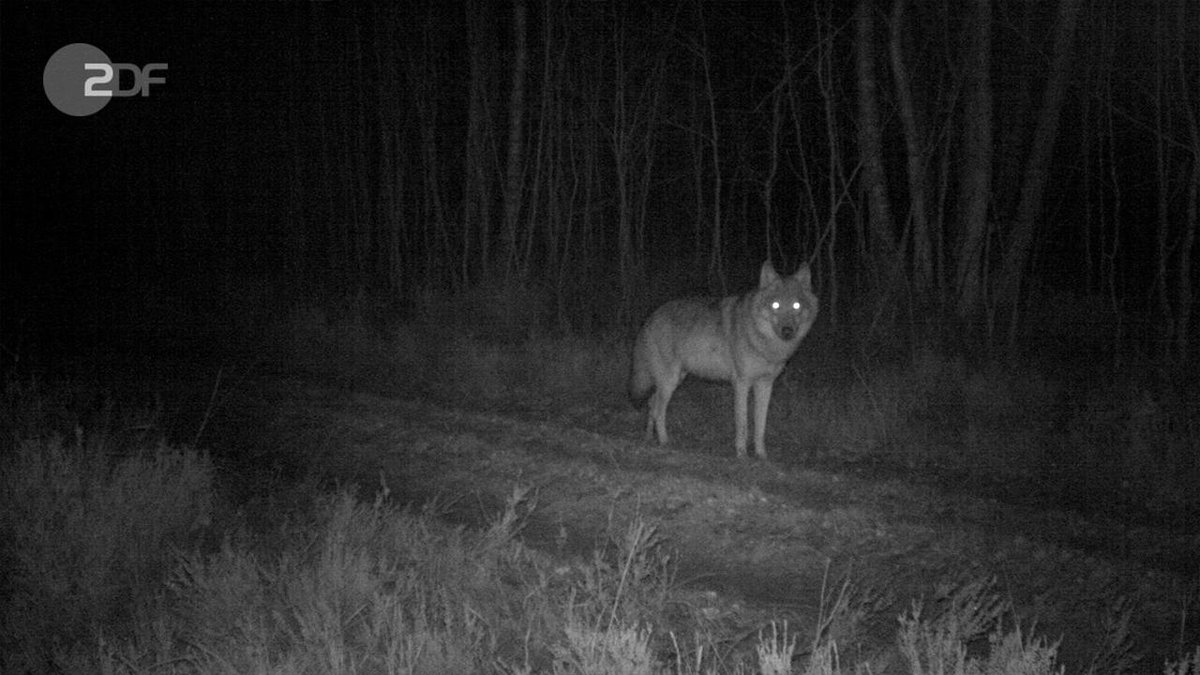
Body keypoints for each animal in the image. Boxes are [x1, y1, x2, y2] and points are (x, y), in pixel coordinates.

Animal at [630, 261, 818, 459]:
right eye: (775, 305)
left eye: (796, 305)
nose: (787, 331)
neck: (762, 341)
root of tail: (650, 318)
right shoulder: (741, 384)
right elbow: (743, 424)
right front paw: (742, 455)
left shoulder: (765, 385)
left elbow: (760, 427)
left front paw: (761, 456)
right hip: (670, 382)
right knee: (658, 411)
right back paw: (665, 442)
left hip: (675, 379)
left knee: (651, 404)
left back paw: (649, 438)